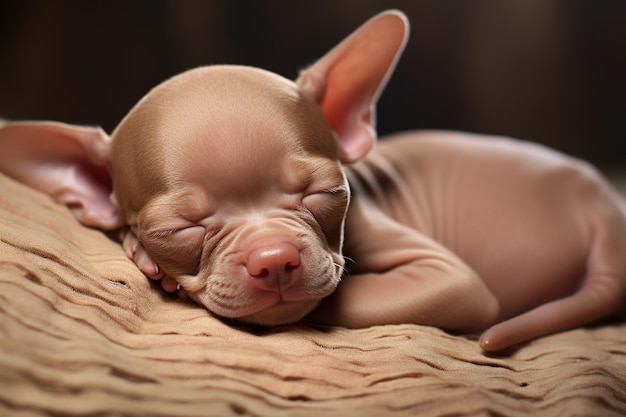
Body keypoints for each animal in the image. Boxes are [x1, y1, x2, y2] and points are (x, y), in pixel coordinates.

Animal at [1, 10, 624, 352]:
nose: (274, 259)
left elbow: (337, 299)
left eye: (324, 193)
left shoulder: (445, 277)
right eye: (180, 229)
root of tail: (604, 208)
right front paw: (142, 254)